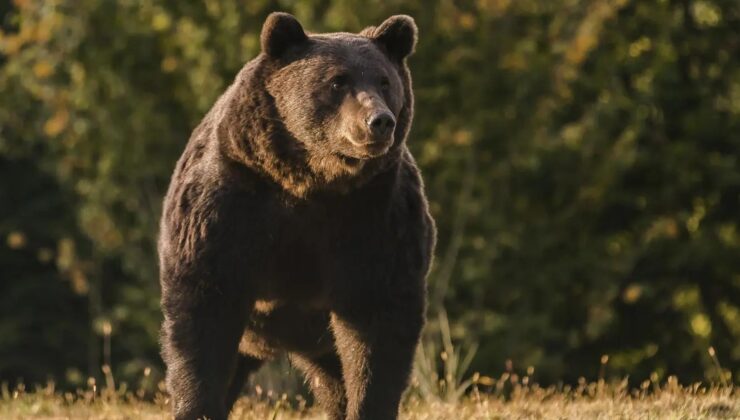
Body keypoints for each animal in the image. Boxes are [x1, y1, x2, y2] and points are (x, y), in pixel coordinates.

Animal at [157, 11, 434, 418]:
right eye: (337, 80)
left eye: (385, 82)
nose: (380, 121)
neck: (311, 180)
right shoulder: (230, 204)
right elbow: (203, 311)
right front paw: (197, 406)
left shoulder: (376, 216)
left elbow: (378, 325)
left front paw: (368, 404)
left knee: (334, 377)